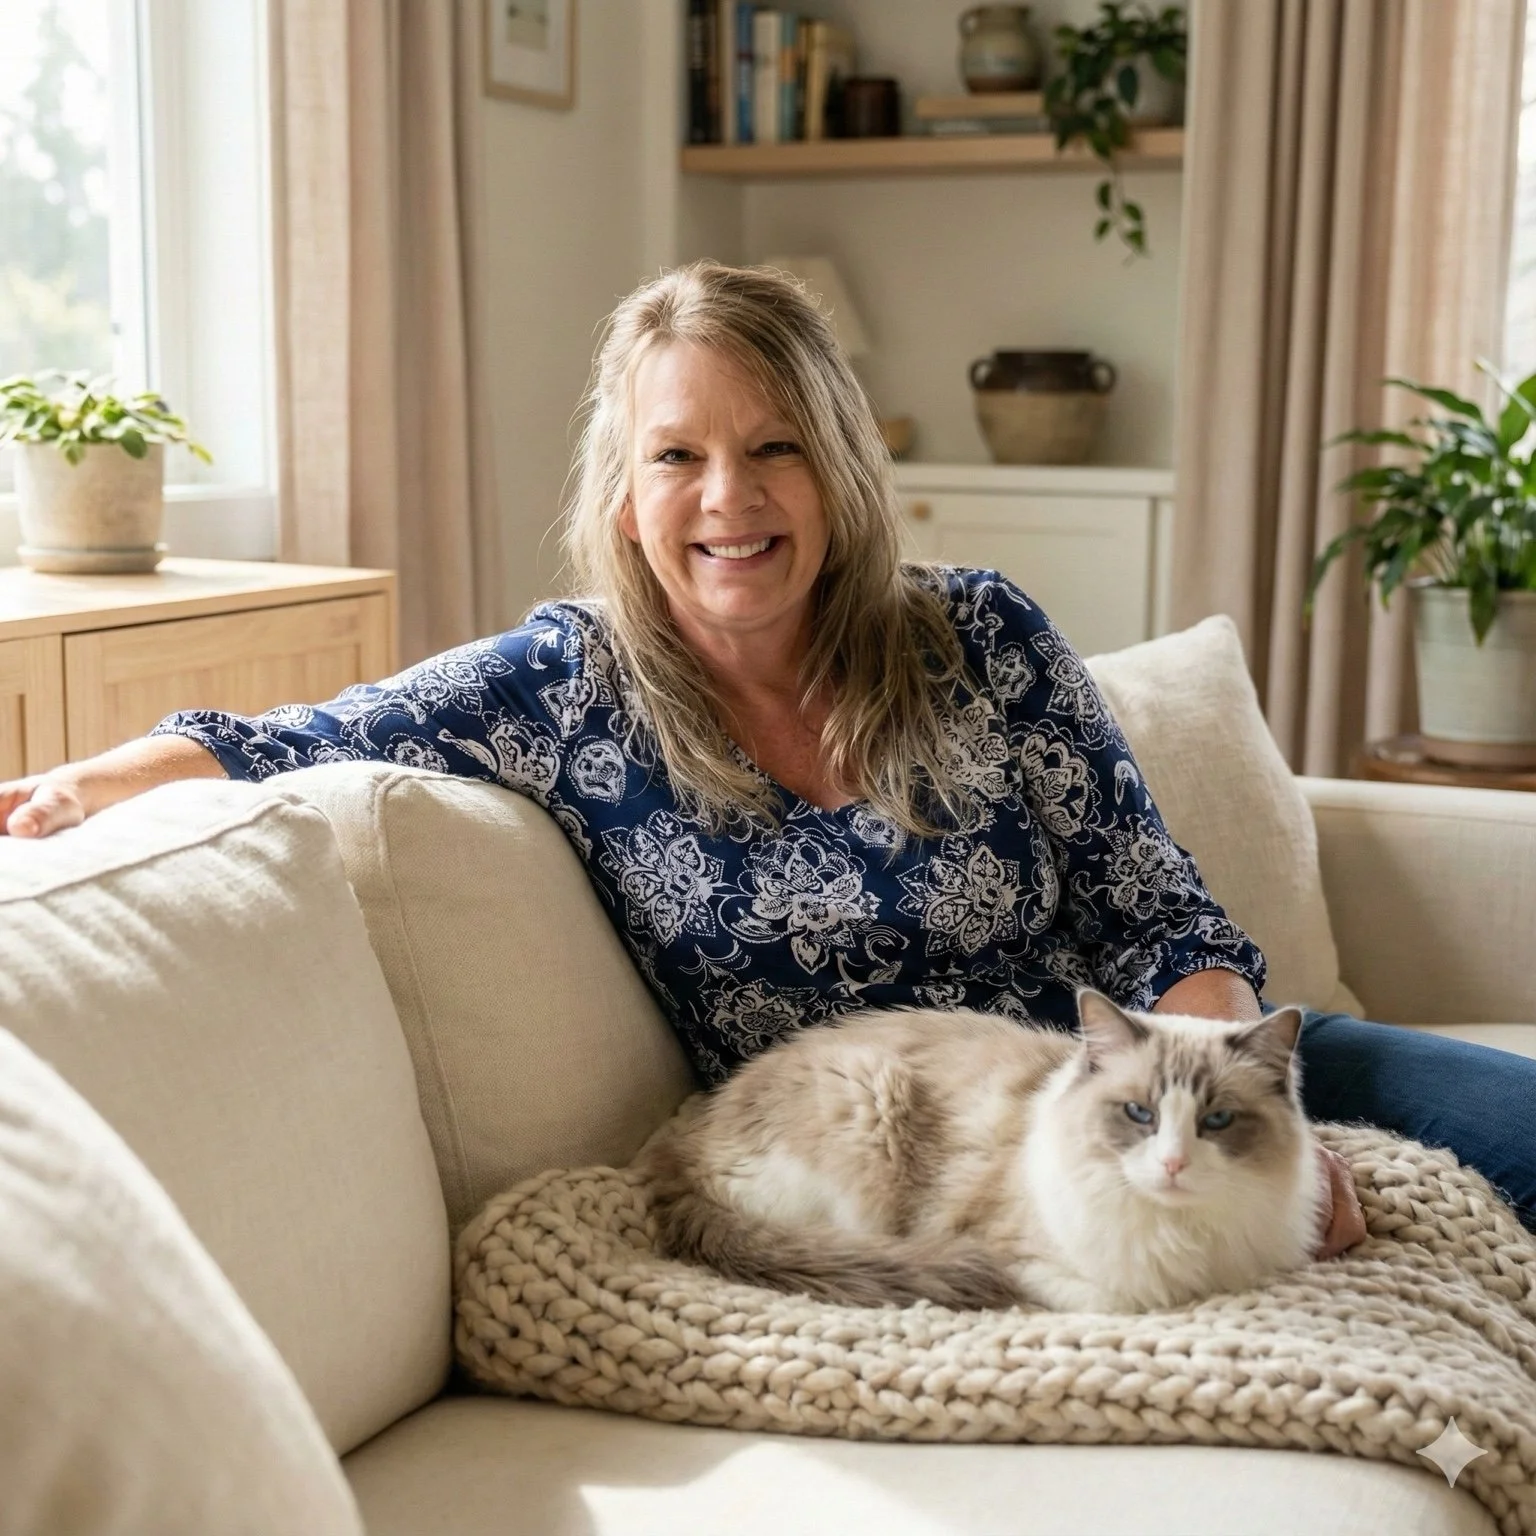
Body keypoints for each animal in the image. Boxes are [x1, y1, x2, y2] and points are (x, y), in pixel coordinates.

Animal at [638, 990, 1325, 1313]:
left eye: (1217, 1120)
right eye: (1140, 1114)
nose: (1174, 1165)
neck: (1179, 1235)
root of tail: (682, 1150)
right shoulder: (1017, 1257)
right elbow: (1124, 1297)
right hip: (866, 1104)